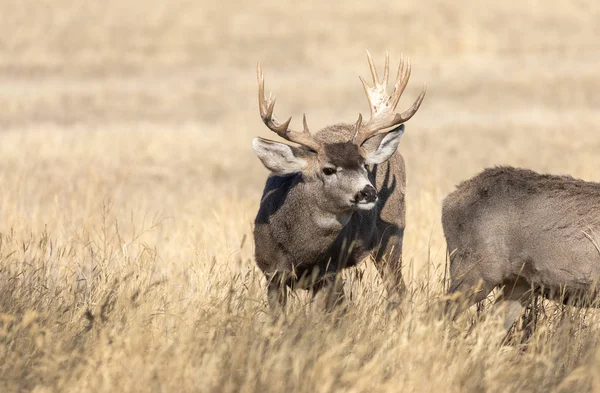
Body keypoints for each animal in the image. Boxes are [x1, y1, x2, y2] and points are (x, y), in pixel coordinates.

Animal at [253, 51, 426, 310]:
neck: (298, 250)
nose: (368, 192)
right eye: (328, 170)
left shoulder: (328, 273)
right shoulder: (272, 274)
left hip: (392, 233)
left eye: (365, 165)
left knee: (397, 290)